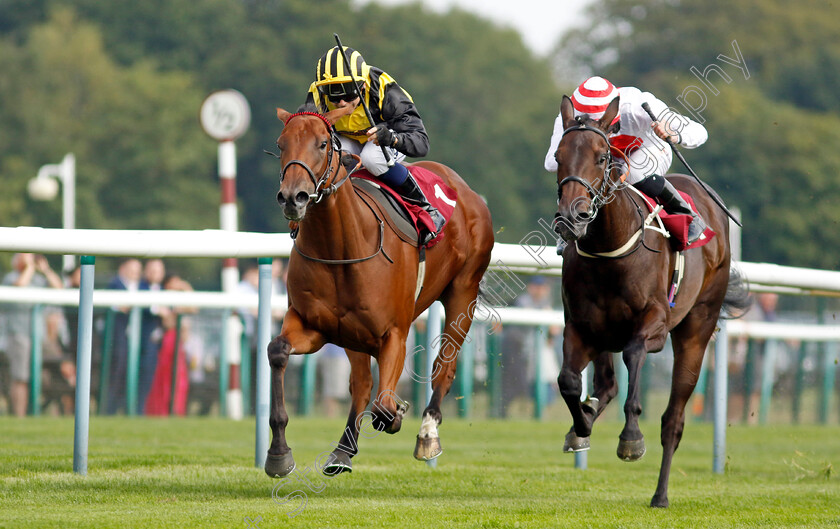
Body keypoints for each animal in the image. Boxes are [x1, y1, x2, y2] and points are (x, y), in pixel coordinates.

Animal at [266, 105, 496, 476]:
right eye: (281, 144)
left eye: (321, 144)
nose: (292, 197)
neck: (341, 247)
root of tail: (463, 187)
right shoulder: (314, 325)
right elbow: (278, 350)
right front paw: (279, 453)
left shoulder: (394, 335)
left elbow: (385, 408)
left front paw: (399, 415)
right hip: (353, 333)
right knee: (361, 384)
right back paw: (342, 451)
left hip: (464, 291)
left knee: (443, 366)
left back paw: (427, 434)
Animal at [552, 96, 748, 508]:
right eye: (559, 156)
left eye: (601, 157)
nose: (571, 218)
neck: (609, 249)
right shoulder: (580, 326)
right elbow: (569, 382)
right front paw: (580, 427)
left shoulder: (653, 325)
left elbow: (634, 358)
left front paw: (630, 439)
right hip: (604, 333)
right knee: (606, 385)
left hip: (696, 329)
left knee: (673, 420)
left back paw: (661, 494)